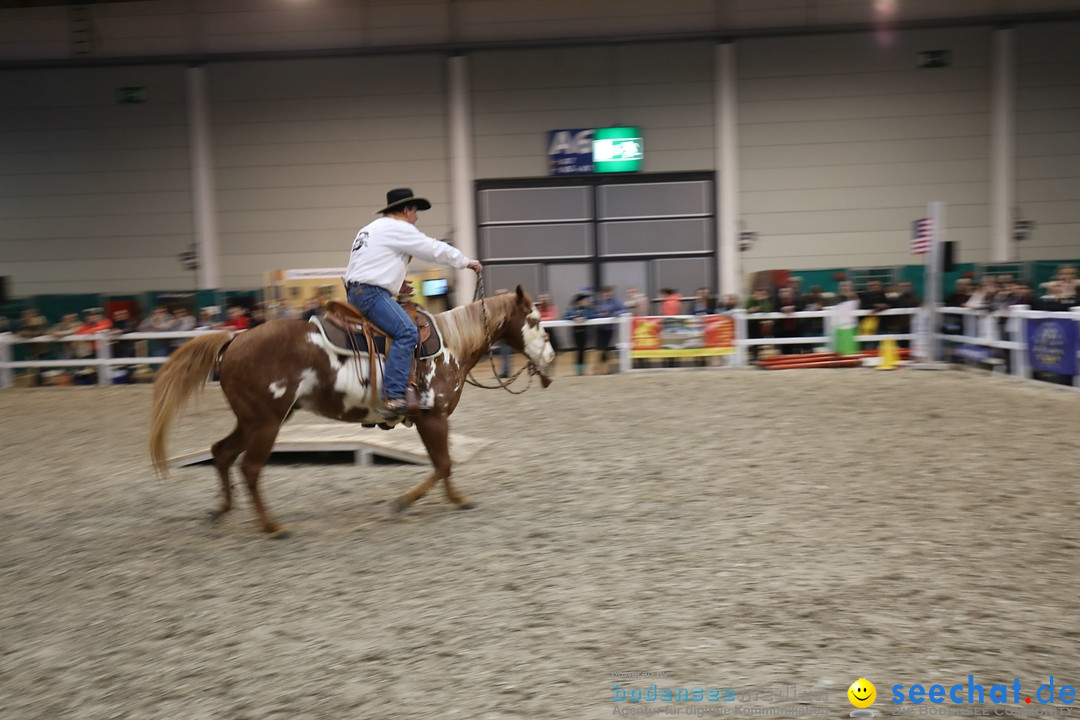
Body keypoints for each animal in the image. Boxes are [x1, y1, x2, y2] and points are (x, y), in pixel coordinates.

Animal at [150, 284, 557, 535]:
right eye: (535, 321)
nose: (552, 360)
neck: (451, 345)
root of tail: (235, 339)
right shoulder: (433, 417)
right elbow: (443, 464)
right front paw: (404, 502)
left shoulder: (428, 421)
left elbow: (443, 464)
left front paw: (456, 499)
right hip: (265, 422)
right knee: (249, 468)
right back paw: (272, 527)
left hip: (252, 420)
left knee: (221, 453)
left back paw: (220, 510)